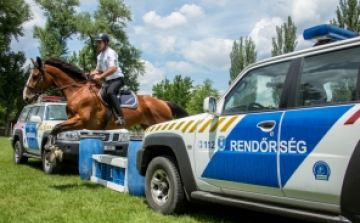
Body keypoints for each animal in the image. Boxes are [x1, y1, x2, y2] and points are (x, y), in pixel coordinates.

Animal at [21, 55, 188, 159]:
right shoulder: (73, 120)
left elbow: (56, 128)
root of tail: (164, 102)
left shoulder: (81, 120)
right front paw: (53, 150)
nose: (25, 96)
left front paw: (52, 151)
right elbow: (56, 129)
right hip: (148, 125)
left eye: (35, 76)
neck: (77, 90)